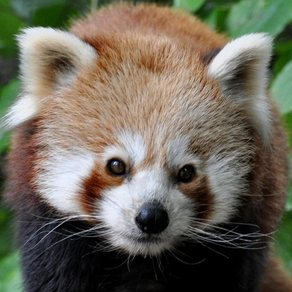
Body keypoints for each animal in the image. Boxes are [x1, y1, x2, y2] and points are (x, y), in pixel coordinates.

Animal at [2, 2, 292, 292]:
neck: (141, 260)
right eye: (116, 166)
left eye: (186, 172)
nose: (151, 217)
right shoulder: (49, 233)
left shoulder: (242, 234)